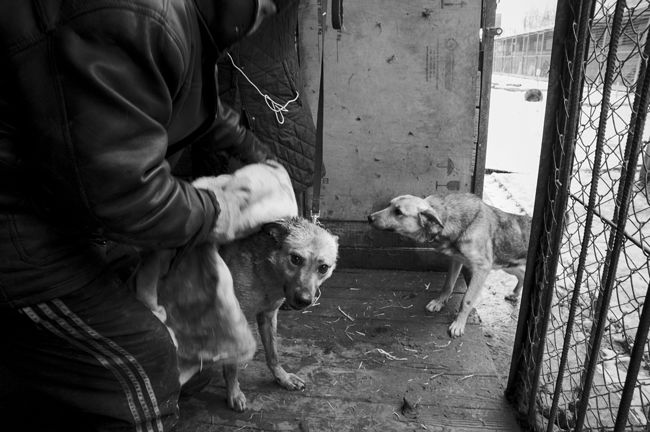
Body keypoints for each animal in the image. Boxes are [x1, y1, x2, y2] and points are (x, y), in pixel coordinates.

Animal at [219, 218, 340, 410]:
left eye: (323, 268)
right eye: (296, 259)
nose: (304, 300)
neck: (266, 273)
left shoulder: (268, 316)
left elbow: (273, 354)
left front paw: (282, 378)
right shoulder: (232, 321)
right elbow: (232, 366)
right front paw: (234, 392)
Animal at [368, 192, 528, 338]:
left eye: (398, 212)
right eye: (388, 205)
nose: (369, 217)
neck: (451, 219)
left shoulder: (482, 270)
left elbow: (467, 300)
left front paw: (458, 324)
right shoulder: (456, 260)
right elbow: (447, 285)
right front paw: (439, 302)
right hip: (507, 265)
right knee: (522, 274)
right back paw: (514, 294)